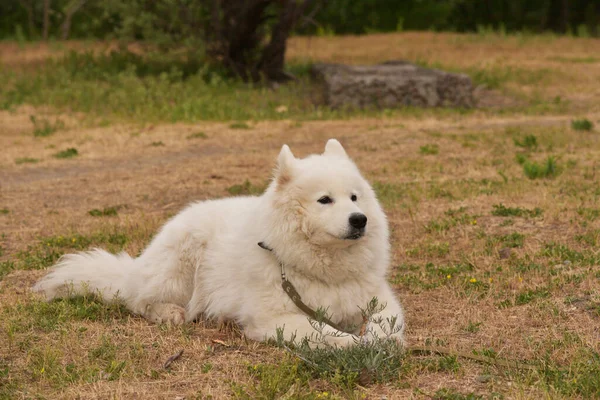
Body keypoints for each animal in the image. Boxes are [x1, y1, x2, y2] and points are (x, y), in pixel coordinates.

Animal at [32, 139, 404, 346]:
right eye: (324, 200)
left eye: (354, 197)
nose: (359, 220)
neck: (324, 269)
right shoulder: (274, 317)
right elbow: (330, 333)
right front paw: (358, 344)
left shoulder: (378, 298)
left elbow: (388, 325)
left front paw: (381, 342)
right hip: (180, 268)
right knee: (138, 301)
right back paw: (169, 313)